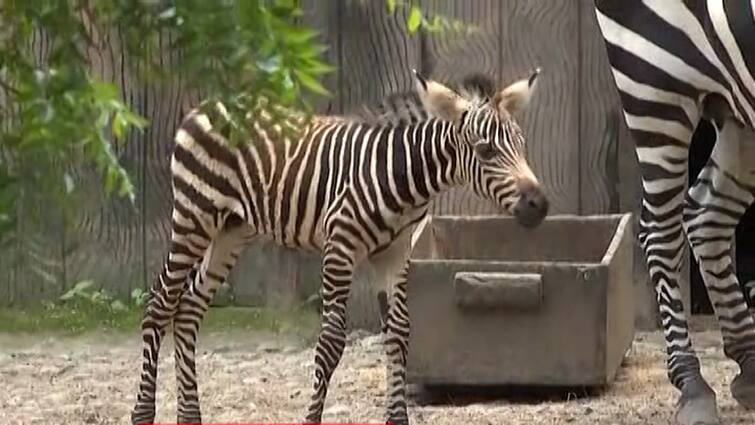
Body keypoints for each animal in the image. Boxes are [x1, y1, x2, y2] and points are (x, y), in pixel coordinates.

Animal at [128, 68, 544, 424]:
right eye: (486, 151)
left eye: (522, 145)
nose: (539, 205)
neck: (401, 178)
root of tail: (207, 105)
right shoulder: (340, 246)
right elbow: (330, 343)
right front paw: (312, 418)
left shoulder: (394, 253)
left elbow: (399, 334)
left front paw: (397, 418)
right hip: (193, 217)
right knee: (160, 302)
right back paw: (143, 413)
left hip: (231, 229)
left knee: (189, 307)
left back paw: (190, 415)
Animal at [596, 0, 755, 424]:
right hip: (654, 86)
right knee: (660, 232)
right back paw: (693, 385)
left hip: (736, 107)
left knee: (706, 216)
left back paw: (750, 364)